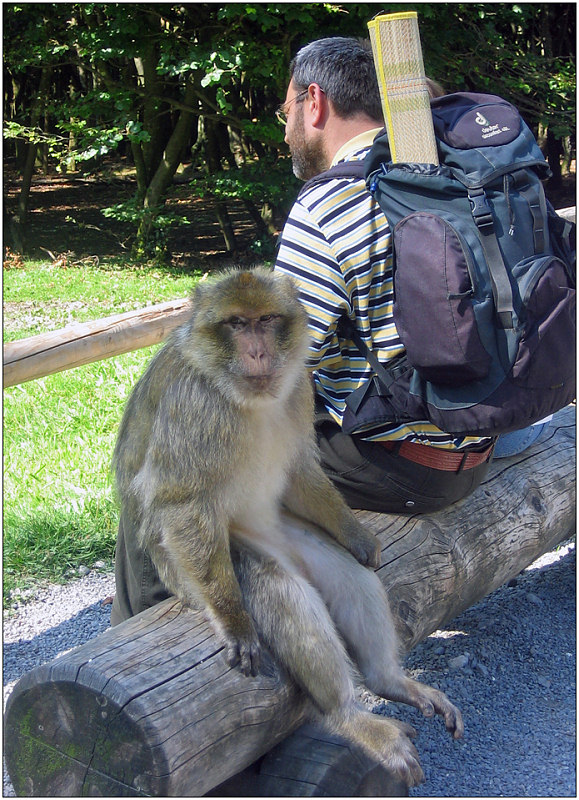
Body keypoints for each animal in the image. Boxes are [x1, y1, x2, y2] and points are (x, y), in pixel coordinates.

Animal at [113, 268, 464, 788]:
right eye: (236, 324)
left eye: (266, 321)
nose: (258, 352)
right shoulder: (193, 406)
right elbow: (183, 503)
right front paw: (234, 622)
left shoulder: (299, 385)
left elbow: (300, 469)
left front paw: (358, 535)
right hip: (195, 569)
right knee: (275, 583)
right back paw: (348, 714)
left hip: (291, 531)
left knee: (348, 577)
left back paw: (388, 681)